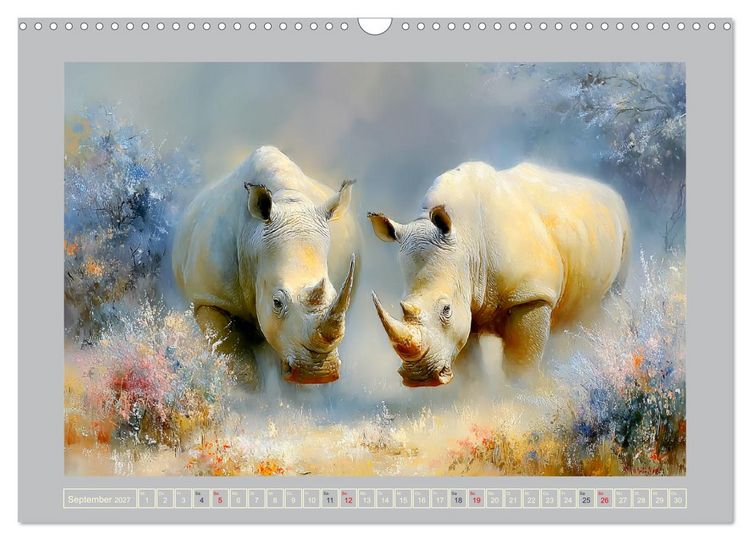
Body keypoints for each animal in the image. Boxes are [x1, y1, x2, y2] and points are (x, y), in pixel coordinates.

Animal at [172, 146, 358, 385]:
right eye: (276, 302)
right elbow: (236, 358)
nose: (317, 374)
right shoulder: (209, 299)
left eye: (335, 294)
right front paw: (248, 390)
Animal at [368, 161, 630, 387]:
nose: (418, 379)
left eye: (446, 310)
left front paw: (517, 396)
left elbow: (521, 361)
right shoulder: (467, 301)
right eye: (402, 305)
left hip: (623, 224)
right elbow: (469, 363)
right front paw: (474, 395)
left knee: (611, 298)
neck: (466, 242)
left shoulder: (531, 293)